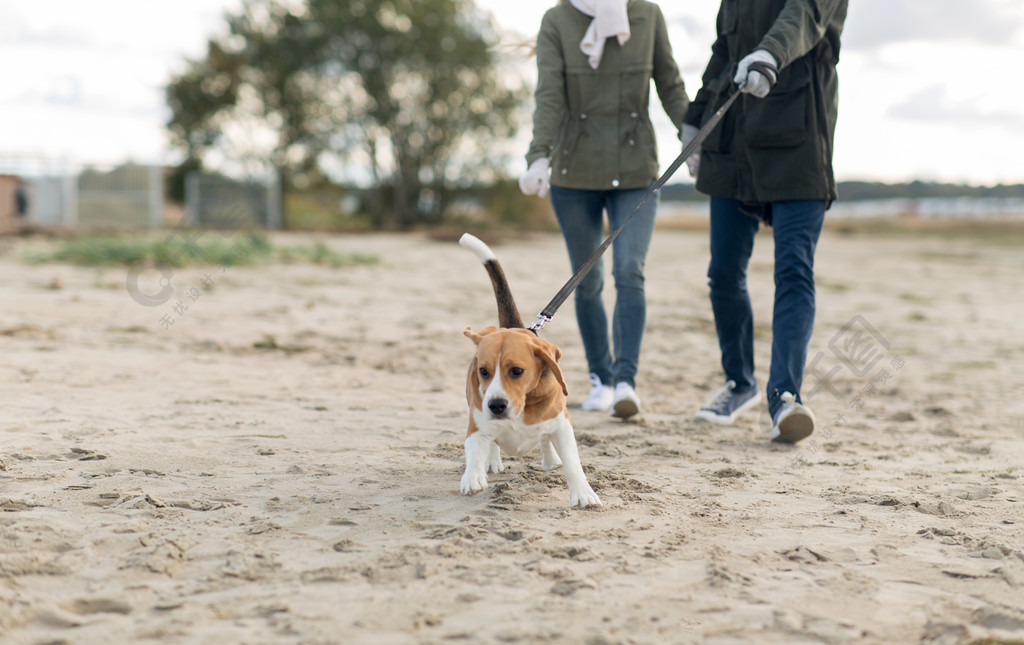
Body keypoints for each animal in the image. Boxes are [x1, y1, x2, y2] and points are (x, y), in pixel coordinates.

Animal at [458, 233, 598, 509]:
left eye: (516, 371)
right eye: (483, 372)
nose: (496, 405)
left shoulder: (562, 425)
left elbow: (573, 463)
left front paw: (583, 494)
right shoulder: (477, 423)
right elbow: (475, 447)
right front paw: (473, 476)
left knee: (545, 441)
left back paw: (550, 458)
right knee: (492, 444)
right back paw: (491, 461)